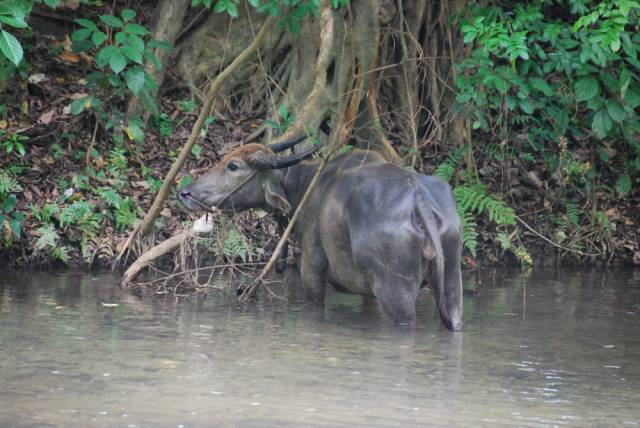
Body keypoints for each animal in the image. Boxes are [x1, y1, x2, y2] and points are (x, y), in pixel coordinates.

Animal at [178, 137, 462, 332]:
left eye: (233, 165)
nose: (185, 192)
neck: (307, 185)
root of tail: (419, 200)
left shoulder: (312, 271)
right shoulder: (367, 293)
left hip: (396, 294)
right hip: (451, 286)